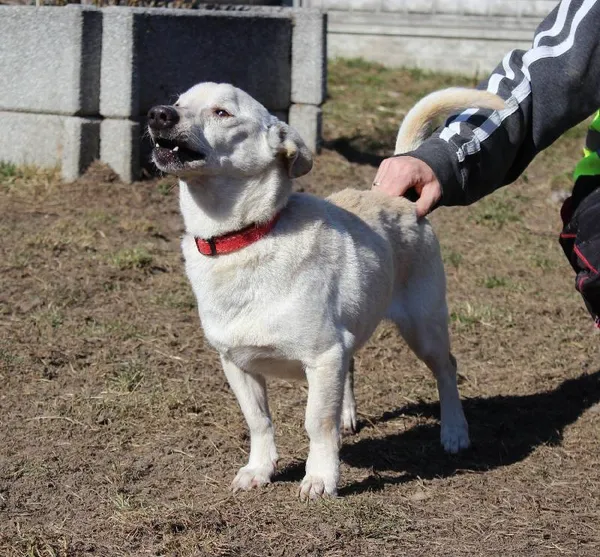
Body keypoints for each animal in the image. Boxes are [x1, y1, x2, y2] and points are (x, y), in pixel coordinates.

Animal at [148, 83, 504, 500]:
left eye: (222, 112)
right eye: (177, 101)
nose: (158, 114)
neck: (246, 239)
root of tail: (398, 199)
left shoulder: (322, 357)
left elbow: (316, 422)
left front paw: (320, 477)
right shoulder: (236, 364)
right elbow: (258, 420)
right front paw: (259, 469)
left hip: (424, 329)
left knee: (447, 369)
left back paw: (454, 431)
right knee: (351, 366)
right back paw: (348, 415)